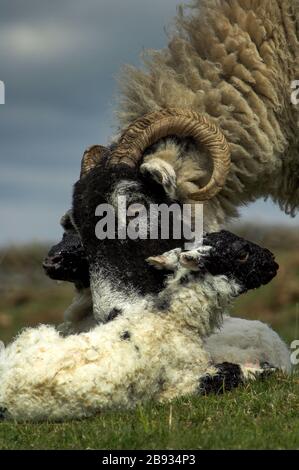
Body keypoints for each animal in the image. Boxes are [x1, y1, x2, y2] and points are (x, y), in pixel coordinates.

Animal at [0, 230, 284, 422]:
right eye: (241, 254)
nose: (274, 262)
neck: (169, 320)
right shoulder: (184, 384)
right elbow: (233, 374)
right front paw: (263, 370)